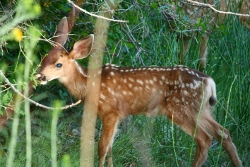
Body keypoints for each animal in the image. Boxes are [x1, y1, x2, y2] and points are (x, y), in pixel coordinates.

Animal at [36, 17, 242, 167]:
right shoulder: (115, 116)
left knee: (205, 139)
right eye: (44, 58)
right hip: (202, 109)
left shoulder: (111, 111)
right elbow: (110, 147)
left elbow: (102, 147)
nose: (39, 76)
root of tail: (209, 81)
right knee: (223, 132)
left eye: (58, 64)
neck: (90, 84)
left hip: (181, 109)